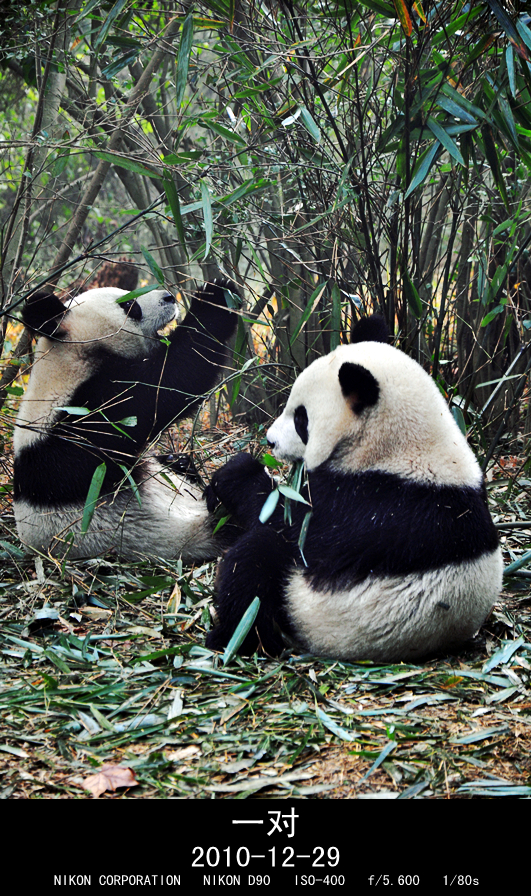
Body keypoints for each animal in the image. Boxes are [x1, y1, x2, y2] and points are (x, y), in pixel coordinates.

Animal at [207, 316, 502, 664]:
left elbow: (288, 523)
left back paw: (232, 637)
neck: (407, 448)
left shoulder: (369, 504)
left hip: (307, 609)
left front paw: (236, 474)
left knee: (254, 564)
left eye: (301, 419)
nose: (270, 442)